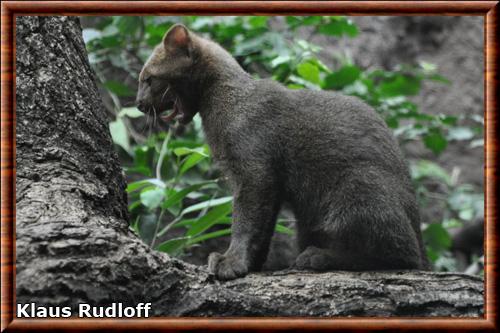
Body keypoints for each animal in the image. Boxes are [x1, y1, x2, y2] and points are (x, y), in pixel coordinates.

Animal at [137, 23, 430, 278]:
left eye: (149, 79)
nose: (139, 104)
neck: (227, 100)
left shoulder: (255, 173)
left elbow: (244, 221)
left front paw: (230, 262)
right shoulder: (267, 182)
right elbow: (262, 228)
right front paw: (250, 265)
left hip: (356, 187)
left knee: (404, 254)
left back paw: (317, 256)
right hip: (308, 217)